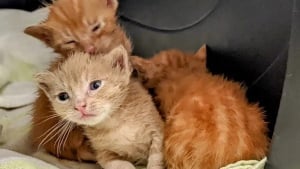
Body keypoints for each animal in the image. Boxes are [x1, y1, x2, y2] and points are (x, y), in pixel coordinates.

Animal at [35, 45, 164, 169]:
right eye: (63, 96)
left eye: (95, 85)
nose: (79, 106)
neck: (114, 122)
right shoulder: (103, 154)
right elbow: (120, 164)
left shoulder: (157, 130)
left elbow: (157, 156)